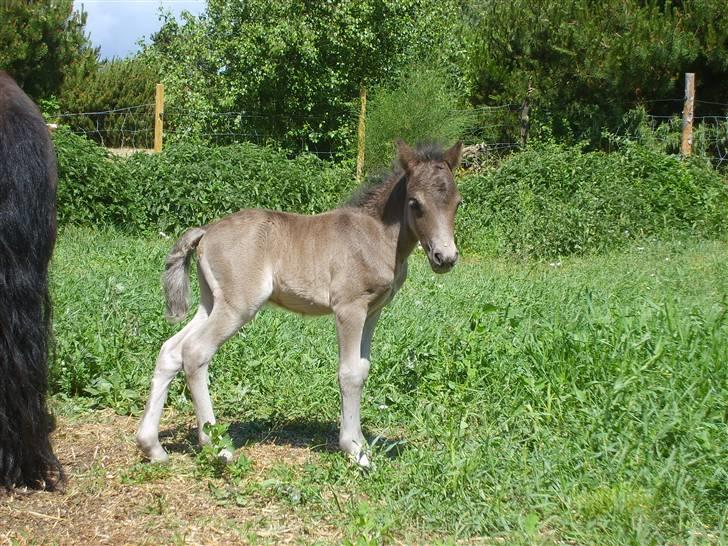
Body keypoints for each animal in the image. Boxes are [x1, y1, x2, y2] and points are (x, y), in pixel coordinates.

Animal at [138, 139, 460, 464]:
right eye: (415, 203)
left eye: (457, 203)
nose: (445, 258)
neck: (375, 235)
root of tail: (206, 231)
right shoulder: (349, 308)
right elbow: (349, 373)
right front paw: (354, 450)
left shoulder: (373, 310)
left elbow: (363, 368)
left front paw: (362, 444)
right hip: (237, 306)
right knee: (195, 351)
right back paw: (216, 446)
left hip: (212, 302)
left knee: (171, 350)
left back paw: (152, 447)